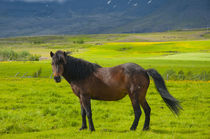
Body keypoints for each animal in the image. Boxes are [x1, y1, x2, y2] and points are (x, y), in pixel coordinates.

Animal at [50, 50, 181, 131]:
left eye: (62, 62)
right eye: (52, 63)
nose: (56, 78)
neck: (81, 74)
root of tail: (144, 70)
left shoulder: (85, 97)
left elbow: (88, 113)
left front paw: (91, 129)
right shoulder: (80, 98)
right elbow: (83, 113)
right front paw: (83, 128)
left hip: (134, 96)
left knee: (138, 112)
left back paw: (132, 128)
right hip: (141, 96)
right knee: (147, 110)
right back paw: (145, 128)